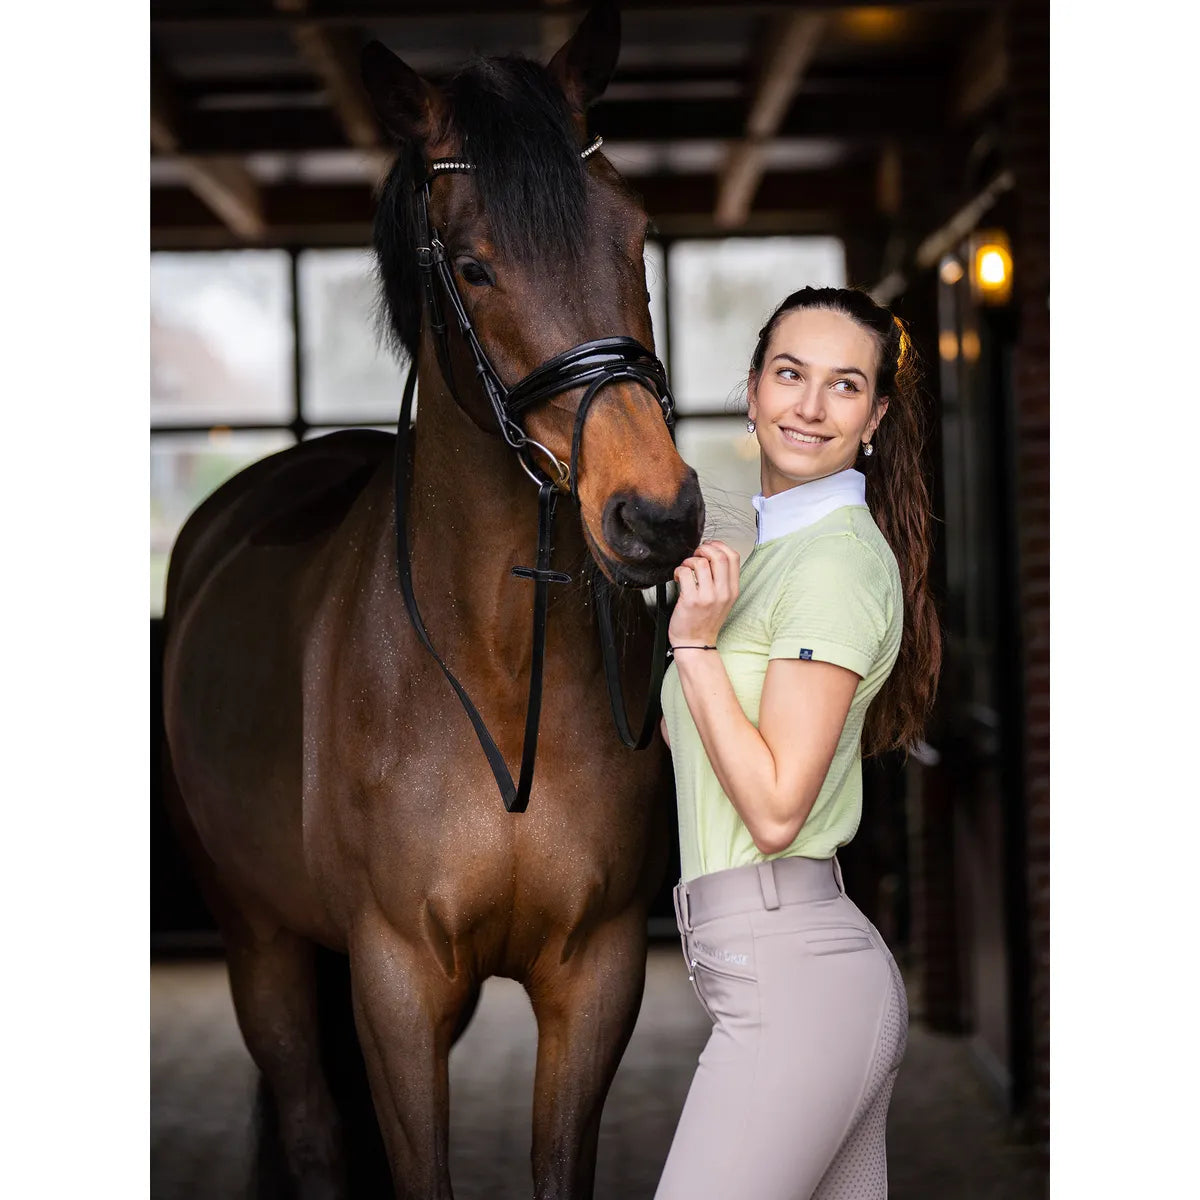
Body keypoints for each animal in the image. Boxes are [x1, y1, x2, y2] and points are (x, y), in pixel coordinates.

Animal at [160, 5, 705, 1197]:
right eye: (473, 266)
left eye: (636, 235)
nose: (656, 515)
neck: (497, 660)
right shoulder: (396, 984)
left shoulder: (597, 978)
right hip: (263, 942)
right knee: (314, 1131)